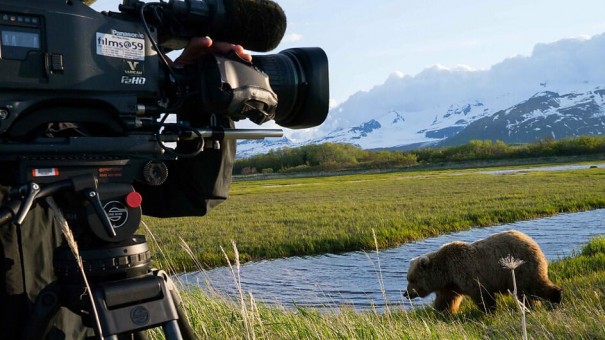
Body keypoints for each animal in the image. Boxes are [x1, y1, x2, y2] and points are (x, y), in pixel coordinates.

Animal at [402, 228, 560, 314]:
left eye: (412, 279)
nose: (406, 293)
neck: (446, 273)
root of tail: (532, 241)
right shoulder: (450, 286)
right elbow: (445, 300)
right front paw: (441, 313)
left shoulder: (468, 274)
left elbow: (482, 296)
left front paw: (488, 311)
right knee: (528, 293)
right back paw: (532, 306)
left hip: (521, 269)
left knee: (535, 287)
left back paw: (556, 298)